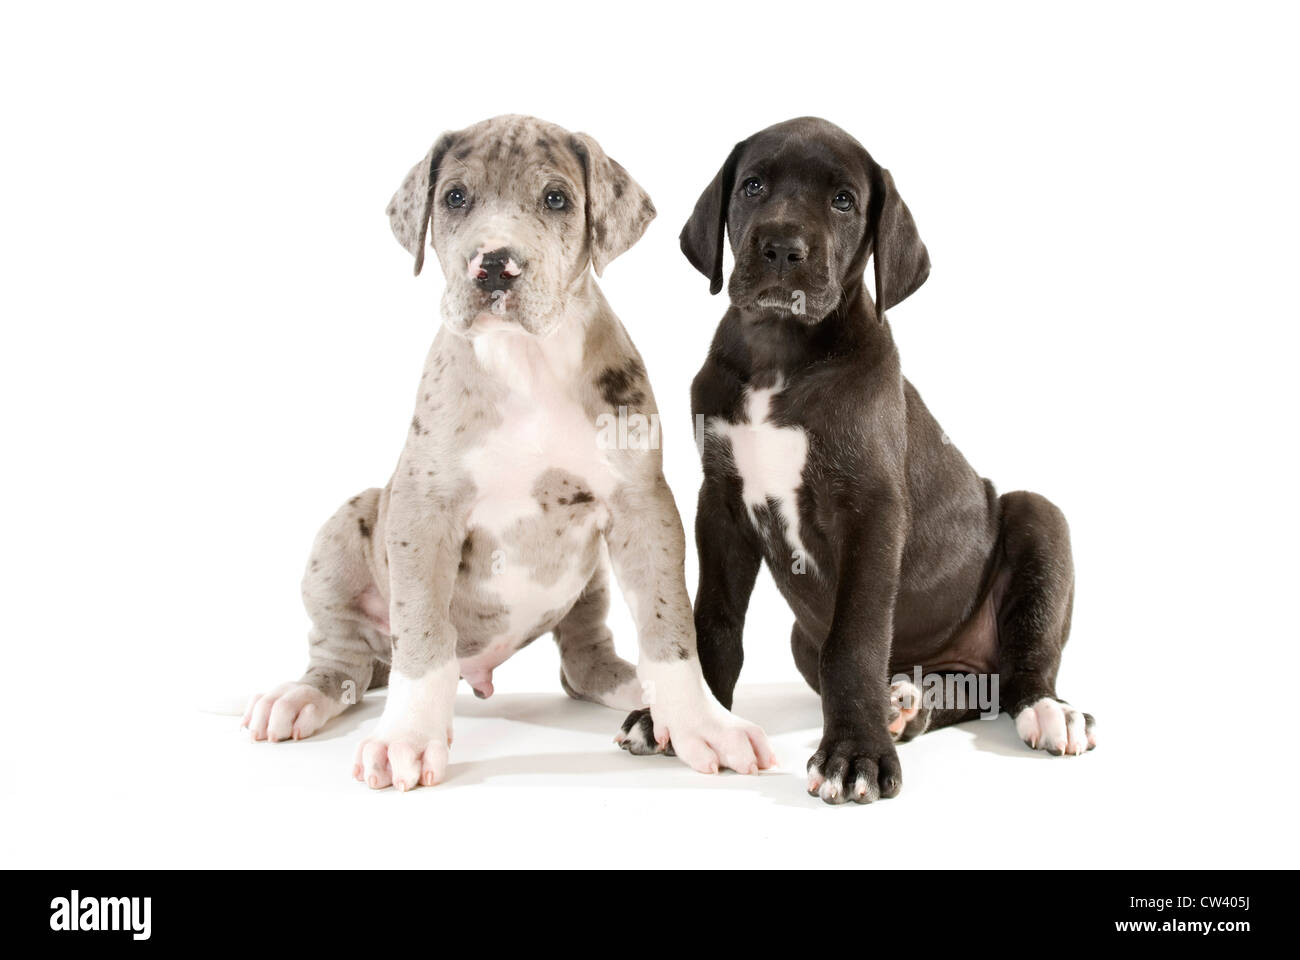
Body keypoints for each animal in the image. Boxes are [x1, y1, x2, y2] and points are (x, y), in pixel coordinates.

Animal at [681, 115, 1097, 806]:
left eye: (844, 201)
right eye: (753, 186)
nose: (782, 248)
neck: (779, 354)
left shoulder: (871, 512)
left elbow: (854, 642)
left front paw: (855, 756)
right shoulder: (720, 503)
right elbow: (712, 618)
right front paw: (698, 721)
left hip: (1038, 518)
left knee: (1023, 669)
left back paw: (1047, 710)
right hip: (812, 637)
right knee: (963, 693)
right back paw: (908, 704)